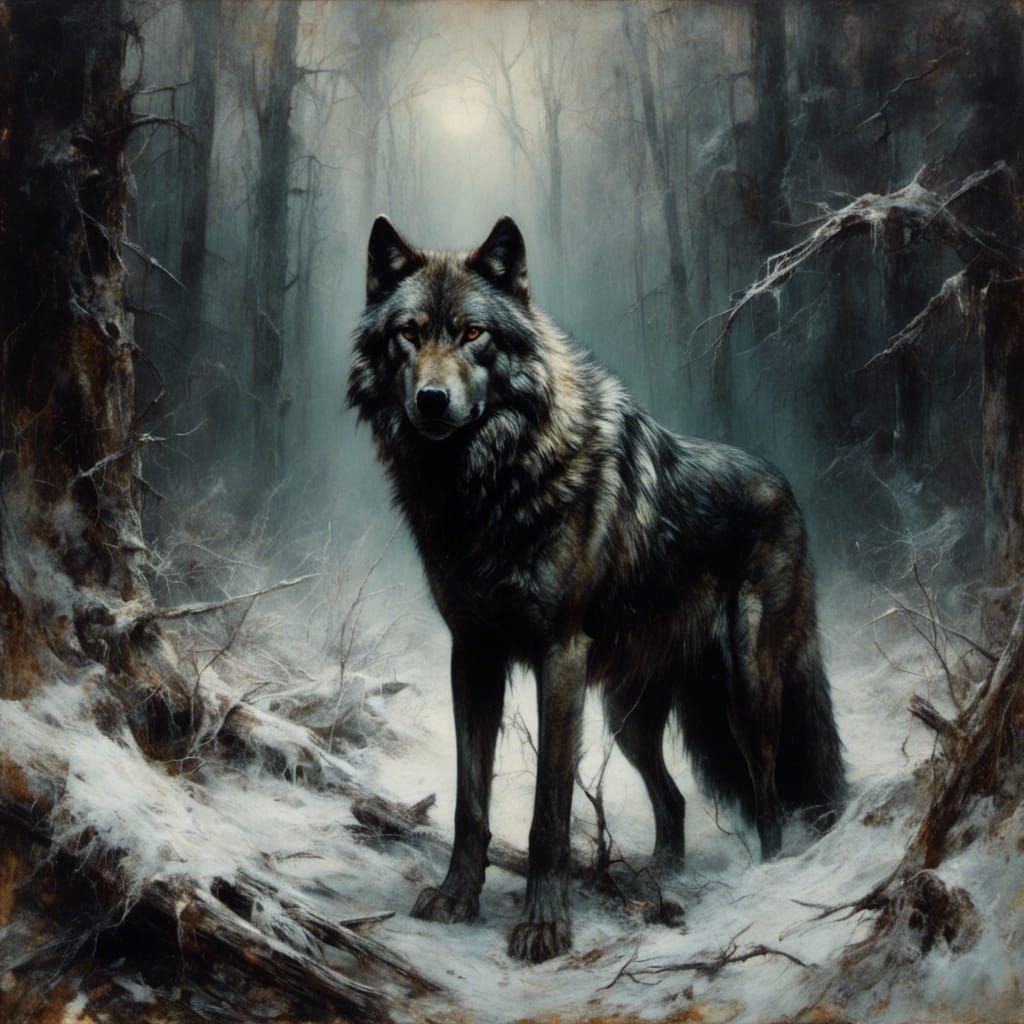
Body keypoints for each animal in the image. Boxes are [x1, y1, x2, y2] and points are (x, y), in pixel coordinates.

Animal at [347, 215, 845, 964]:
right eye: (408, 332)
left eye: (472, 333)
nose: (431, 401)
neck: (491, 485)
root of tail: (785, 487)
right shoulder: (472, 655)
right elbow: (470, 802)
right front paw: (457, 899)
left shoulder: (560, 657)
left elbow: (548, 812)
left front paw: (546, 926)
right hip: (627, 717)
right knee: (674, 801)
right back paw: (658, 878)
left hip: (746, 690)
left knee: (767, 797)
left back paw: (764, 878)